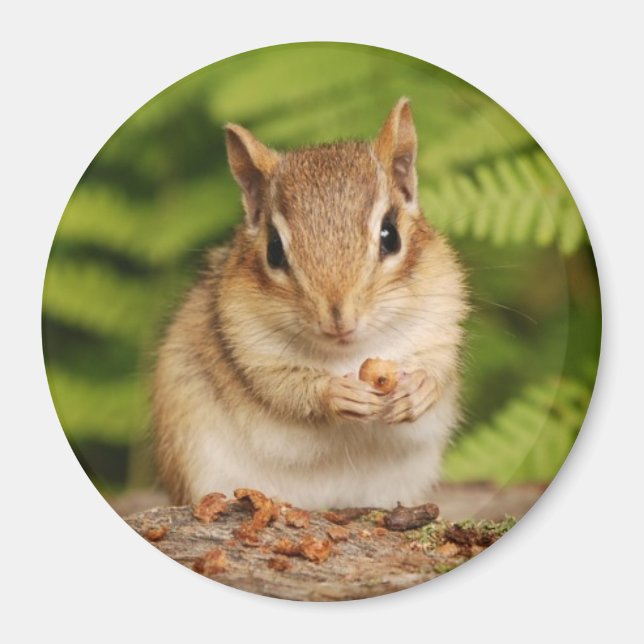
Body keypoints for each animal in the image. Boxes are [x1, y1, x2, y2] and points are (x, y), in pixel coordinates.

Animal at [152, 98, 469, 510]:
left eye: (391, 236)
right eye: (274, 250)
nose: (339, 320)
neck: (349, 354)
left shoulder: (442, 320)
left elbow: (439, 365)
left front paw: (419, 389)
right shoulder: (250, 348)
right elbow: (284, 387)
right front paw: (336, 393)